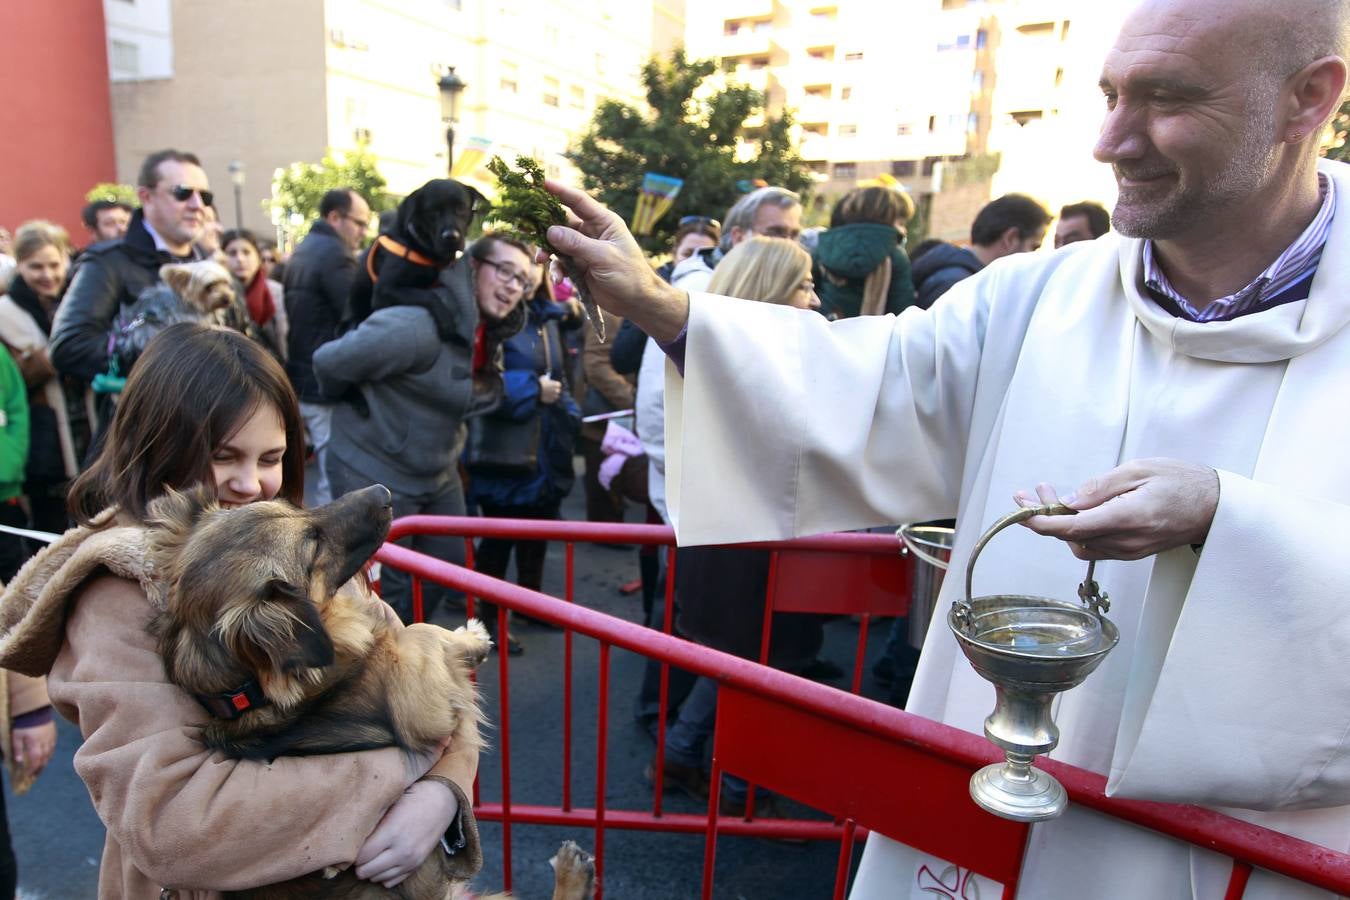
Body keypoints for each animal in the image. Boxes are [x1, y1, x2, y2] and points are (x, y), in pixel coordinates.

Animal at [342, 175, 486, 334]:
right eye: (432, 211)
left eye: (461, 207)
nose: (451, 236)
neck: (421, 246)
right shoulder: (384, 290)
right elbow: (427, 295)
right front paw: (445, 319)